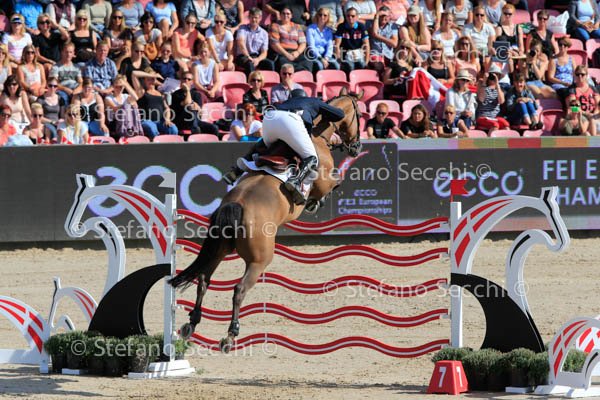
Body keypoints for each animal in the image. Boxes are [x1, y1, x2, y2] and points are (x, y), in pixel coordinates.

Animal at [169, 88, 363, 351]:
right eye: (359, 115)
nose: (357, 147)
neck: (317, 136)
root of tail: (236, 205)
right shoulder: (325, 180)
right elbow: (334, 184)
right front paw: (313, 202)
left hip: (220, 249)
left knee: (203, 280)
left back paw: (191, 324)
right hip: (260, 259)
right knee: (239, 289)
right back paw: (230, 335)